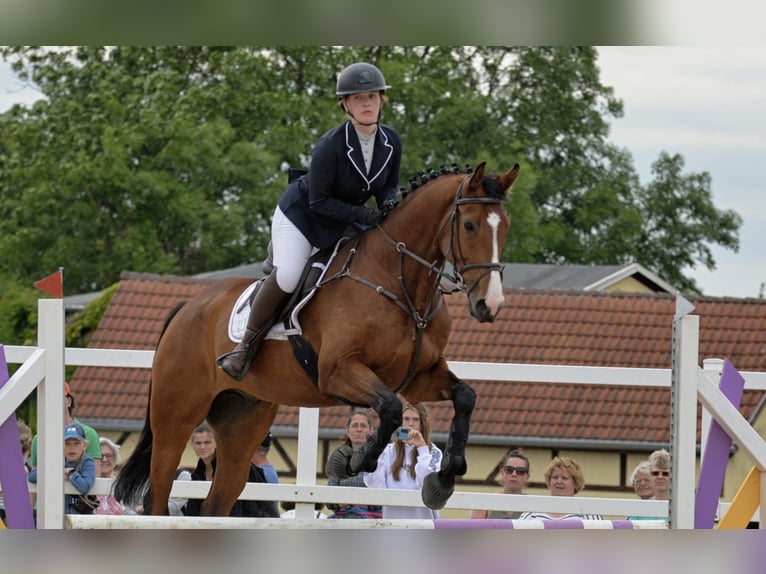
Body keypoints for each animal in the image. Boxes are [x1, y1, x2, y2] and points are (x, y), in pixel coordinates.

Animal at [114, 162, 520, 516]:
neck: (401, 284)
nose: (490, 304)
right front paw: (356, 460)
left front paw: (445, 478)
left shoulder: (419, 377)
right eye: (469, 225)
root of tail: (187, 308)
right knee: (157, 495)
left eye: (506, 229)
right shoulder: (337, 372)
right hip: (176, 419)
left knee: (216, 504)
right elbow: (389, 408)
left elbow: (465, 396)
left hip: (241, 428)